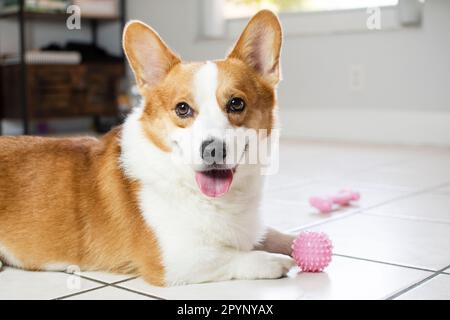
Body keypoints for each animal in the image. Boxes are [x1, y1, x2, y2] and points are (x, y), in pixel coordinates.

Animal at [0, 10, 296, 286]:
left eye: (236, 104)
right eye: (182, 108)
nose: (213, 150)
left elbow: (273, 234)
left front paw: (294, 241)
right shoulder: (174, 260)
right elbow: (234, 256)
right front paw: (275, 260)